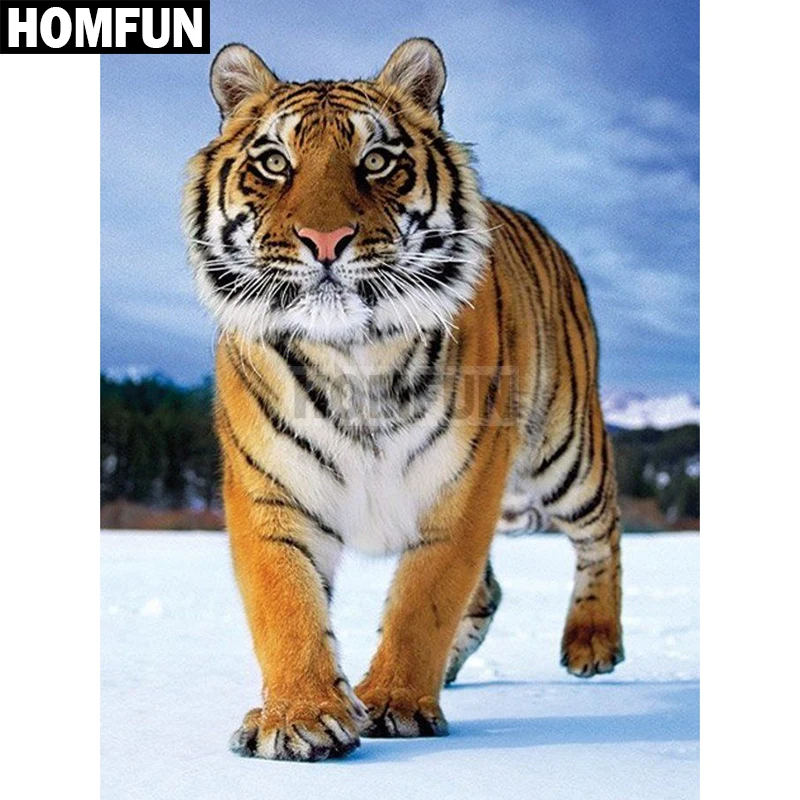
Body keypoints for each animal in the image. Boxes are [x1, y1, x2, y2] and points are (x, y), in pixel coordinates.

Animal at [182, 37, 624, 762]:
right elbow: (286, 603)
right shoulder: (270, 488)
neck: (352, 354)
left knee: (602, 531)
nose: (325, 241)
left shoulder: (465, 484)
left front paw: (394, 703)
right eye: (274, 163)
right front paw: (300, 716)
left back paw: (593, 643)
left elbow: (426, 598)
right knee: (491, 589)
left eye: (377, 160)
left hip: (566, 453)